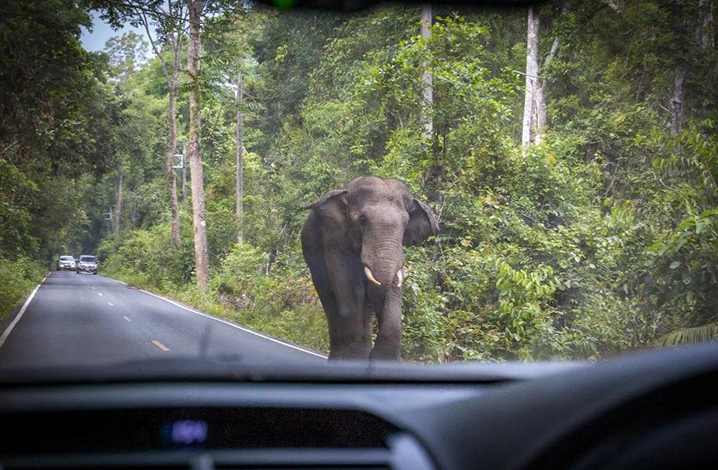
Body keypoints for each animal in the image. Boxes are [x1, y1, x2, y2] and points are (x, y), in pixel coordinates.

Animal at [302, 176, 438, 360]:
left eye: (406, 224)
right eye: (362, 220)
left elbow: (392, 289)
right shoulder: (334, 239)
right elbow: (349, 289)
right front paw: (354, 359)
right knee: (330, 300)